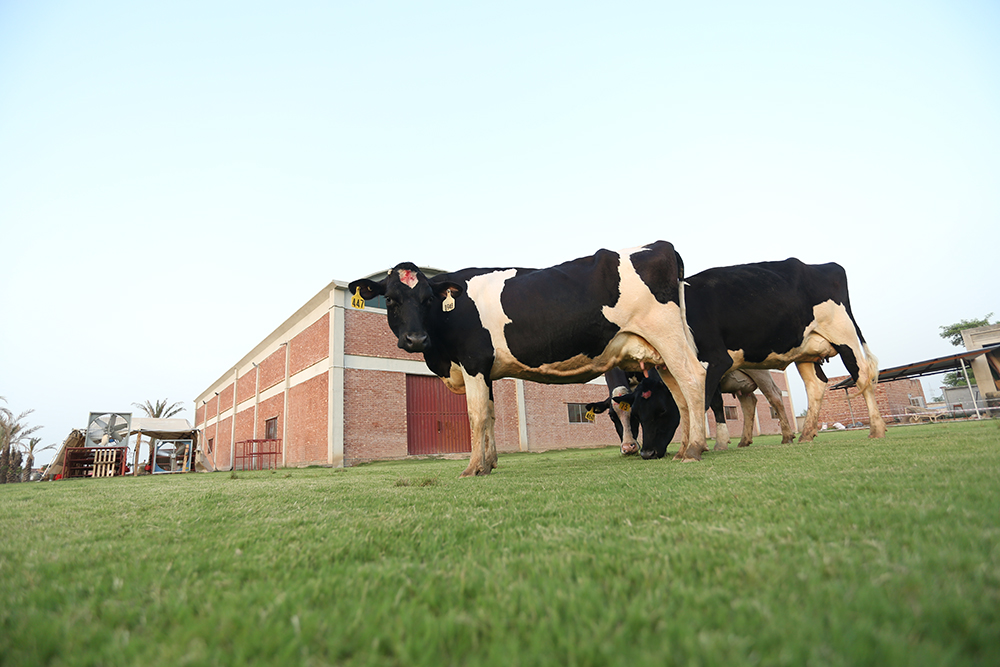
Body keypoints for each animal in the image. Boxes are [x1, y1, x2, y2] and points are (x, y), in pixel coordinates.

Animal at [348, 241, 708, 476]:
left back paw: (693, 449)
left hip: (666, 333)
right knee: (679, 393)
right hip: (660, 350)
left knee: (693, 378)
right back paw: (684, 449)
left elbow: (476, 415)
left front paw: (473, 468)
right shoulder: (486, 370)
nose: (416, 339)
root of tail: (659, 245)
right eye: (390, 300)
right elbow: (491, 414)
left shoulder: (473, 362)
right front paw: (490, 463)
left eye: (426, 300)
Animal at [683, 258, 886, 454]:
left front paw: (705, 445)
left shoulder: (712, 363)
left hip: (843, 335)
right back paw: (805, 434)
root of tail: (829, 266)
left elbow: (708, 402)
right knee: (814, 384)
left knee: (861, 374)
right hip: (806, 352)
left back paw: (876, 429)